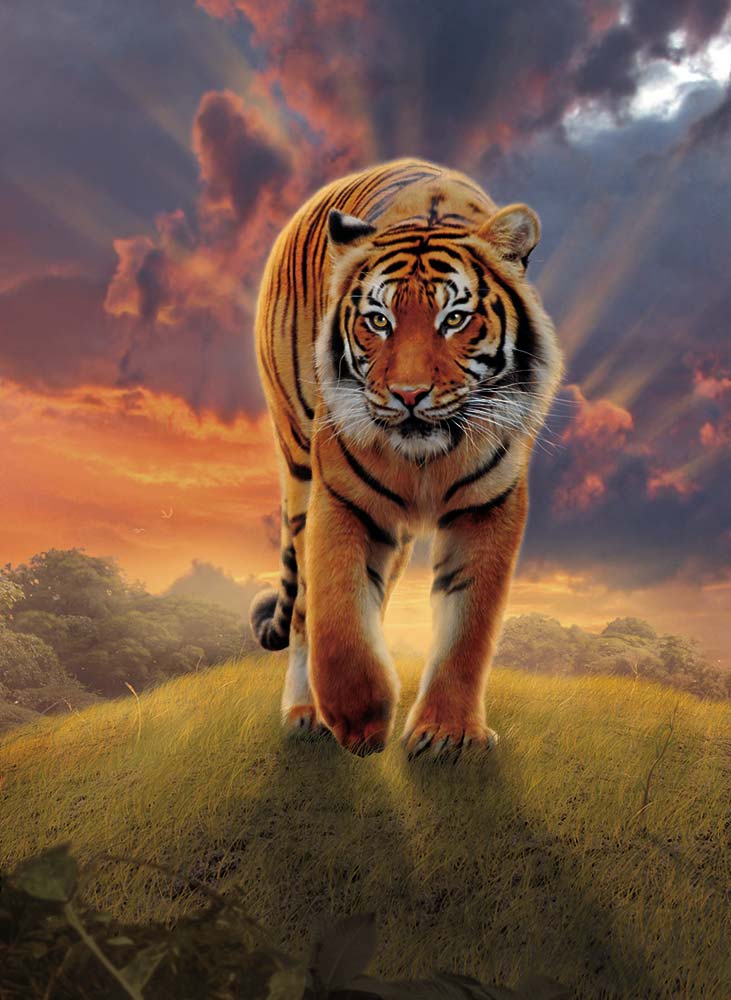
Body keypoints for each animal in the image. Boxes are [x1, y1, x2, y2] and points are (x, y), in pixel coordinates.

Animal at [249, 156, 563, 758]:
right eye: (378, 321)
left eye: (455, 319)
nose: (410, 394)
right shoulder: (342, 497)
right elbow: (338, 613)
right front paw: (357, 717)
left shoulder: (489, 506)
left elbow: (469, 626)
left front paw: (446, 734)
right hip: (298, 463)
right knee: (302, 608)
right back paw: (306, 712)